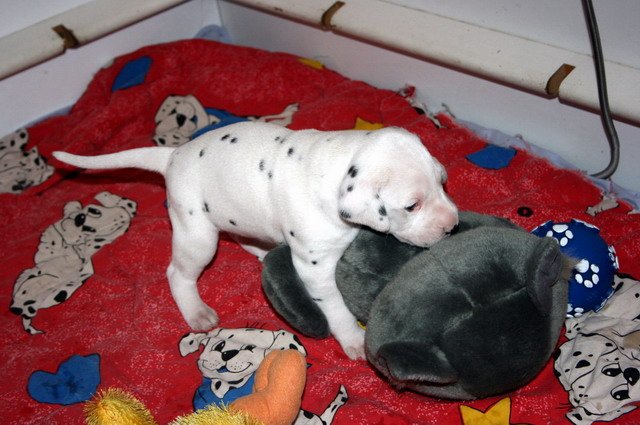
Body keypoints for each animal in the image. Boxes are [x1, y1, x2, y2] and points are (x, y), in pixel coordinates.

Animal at [53, 121, 458, 359]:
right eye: (411, 205)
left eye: (443, 181)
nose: (452, 226)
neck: (338, 167)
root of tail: (173, 155)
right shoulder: (315, 270)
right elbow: (335, 306)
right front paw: (354, 340)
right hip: (197, 235)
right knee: (177, 273)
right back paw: (195, 310)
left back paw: (263, 251)